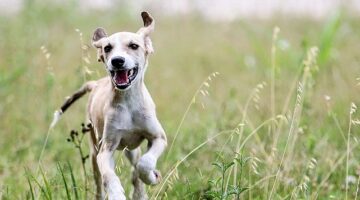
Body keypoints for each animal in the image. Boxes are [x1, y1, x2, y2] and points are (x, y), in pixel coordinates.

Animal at [51, 11, 167, 199]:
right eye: (107, 48)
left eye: (134, 45)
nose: (117, 61)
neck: (128, 102)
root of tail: (95, 84)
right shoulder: (105, 150)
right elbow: (108, 175)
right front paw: (115, 193)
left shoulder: (159, 138)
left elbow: (145, 163)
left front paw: (151, 177)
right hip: (94, 152)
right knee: (99, 181)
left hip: (131, 150)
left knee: (136, 167)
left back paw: (140, 192)